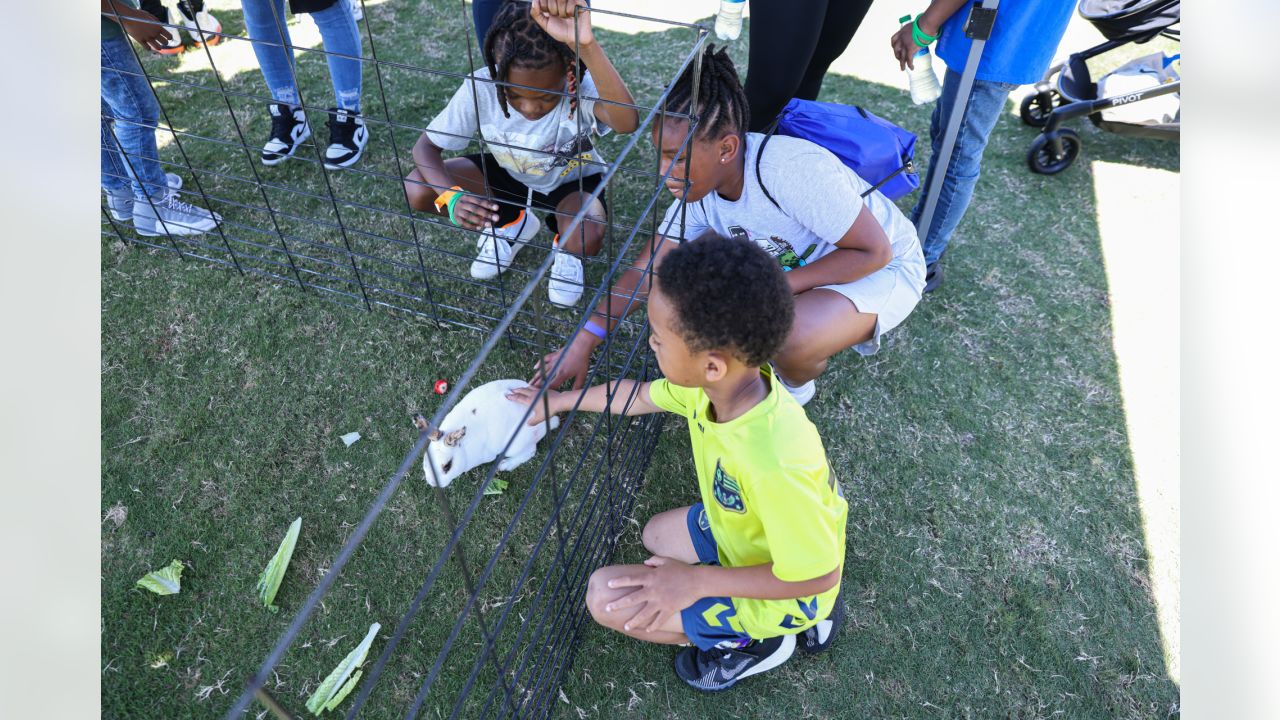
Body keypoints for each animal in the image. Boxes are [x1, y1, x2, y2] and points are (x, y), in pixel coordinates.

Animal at [419, 376, 560, 486]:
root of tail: (549, 420)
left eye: (447, 466)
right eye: (426, 460)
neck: (463, 448)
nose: (432, 483)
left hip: (515, 444)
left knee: (530, 452)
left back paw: (505, 465)